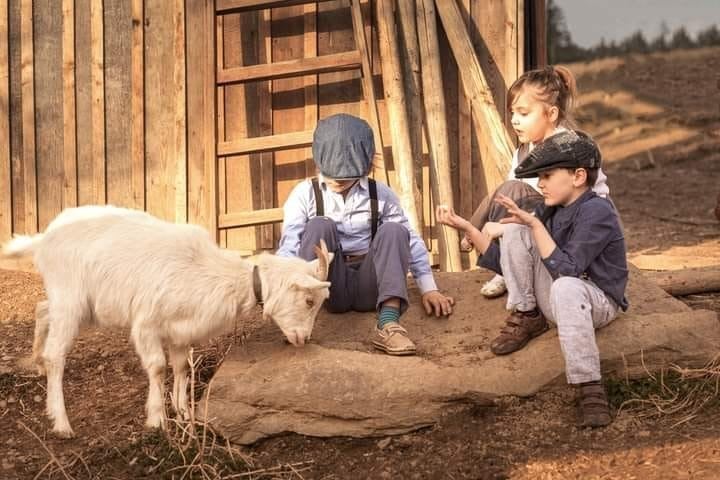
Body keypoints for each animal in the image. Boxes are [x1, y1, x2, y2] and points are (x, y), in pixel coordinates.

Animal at [0, 204, 332, 436]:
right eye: (309, 301)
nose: (303, 339)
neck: (211, 273)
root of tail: (44, 238)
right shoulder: (147, 324)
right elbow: (159, 368)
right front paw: (157, 419)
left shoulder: (181, 331)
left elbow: (182, 367)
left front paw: (184, 413)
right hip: (71, 299)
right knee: (57, 354)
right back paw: (61, 422)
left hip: (77, 303)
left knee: (42, 309)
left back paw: (37, 363)